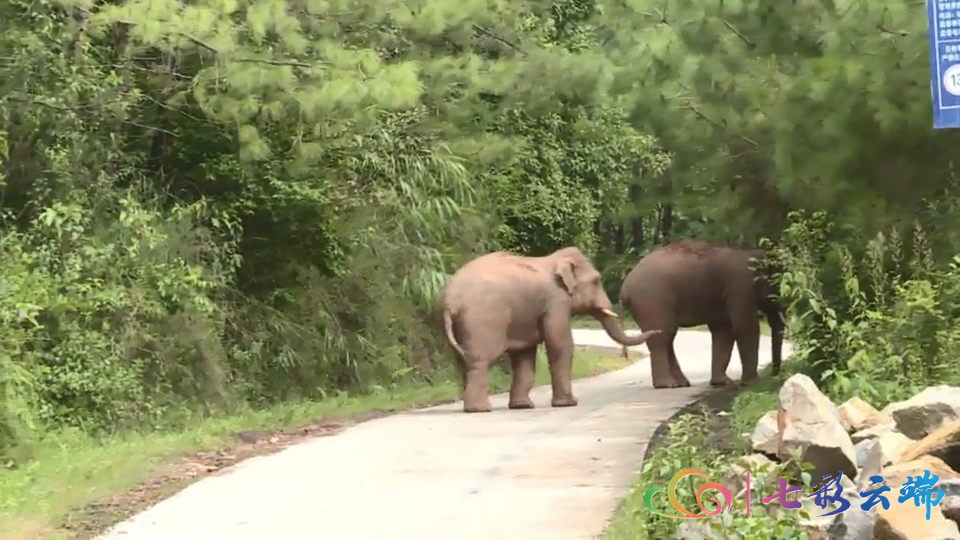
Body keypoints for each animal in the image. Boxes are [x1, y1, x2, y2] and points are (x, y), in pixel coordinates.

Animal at [442, 247, 660, 416]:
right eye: (596, 281)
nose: (656, 330)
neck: (553, 259)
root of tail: (450, 302)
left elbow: (525, 356)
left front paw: (522, 407)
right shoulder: (556, 302)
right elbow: (560, 344)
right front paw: (569, 404)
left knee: (463, 361)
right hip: (484, 320)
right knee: (481, 360)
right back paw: (480, 409)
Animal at [620, 239, 784, 388]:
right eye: (776, 287)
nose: (774, 374)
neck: (750, 253)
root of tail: (625, 288)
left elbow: (723, 331)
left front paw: (722, 382)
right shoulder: (740, 288)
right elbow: (745, 327)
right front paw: (753, 382)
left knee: (668, 336)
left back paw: (681, 383)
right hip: (652, 302)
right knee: (661, 336)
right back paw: (666, 384)